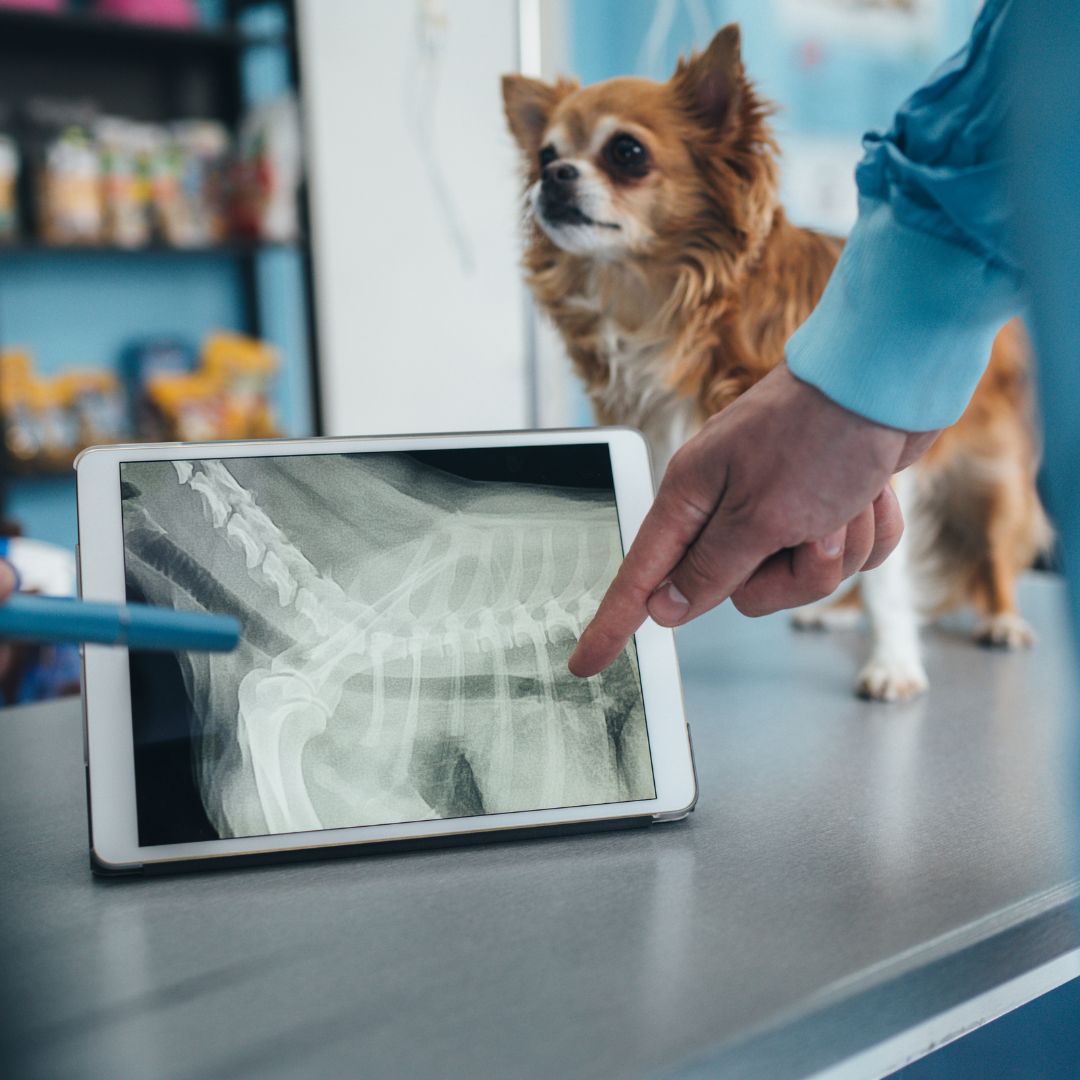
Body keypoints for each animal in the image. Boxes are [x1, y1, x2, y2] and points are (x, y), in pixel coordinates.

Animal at [501, 27, 1049, 699]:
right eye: (544, 153)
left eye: (626, 151)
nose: (553, 175)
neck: (660, 306)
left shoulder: (860, 473)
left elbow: (889, 586)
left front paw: (894, 664)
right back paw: (833, 613)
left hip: (994, 482)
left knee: (991, 557)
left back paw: (1001, 620)